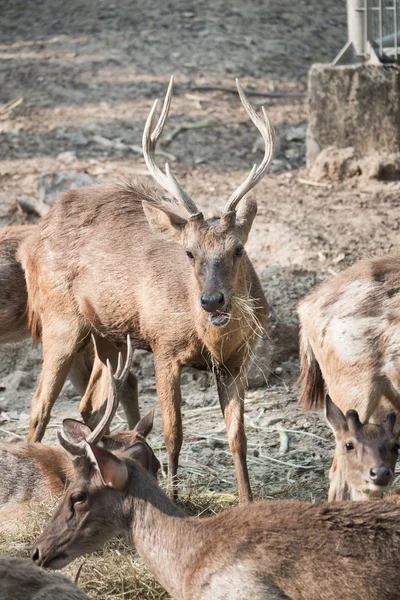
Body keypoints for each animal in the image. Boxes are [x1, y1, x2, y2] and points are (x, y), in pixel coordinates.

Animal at [20, 77, 274, 504]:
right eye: (189, 252)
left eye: (238, 249)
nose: (212, 300)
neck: (210, 339)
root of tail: (30, 242)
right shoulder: (165, 347)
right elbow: (175, 433)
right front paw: (173, 496)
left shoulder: (238, 360)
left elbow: (238, 437)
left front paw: (247, 502)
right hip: (59, 320)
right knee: (40, 404)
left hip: (107, 335)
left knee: (91, 405)